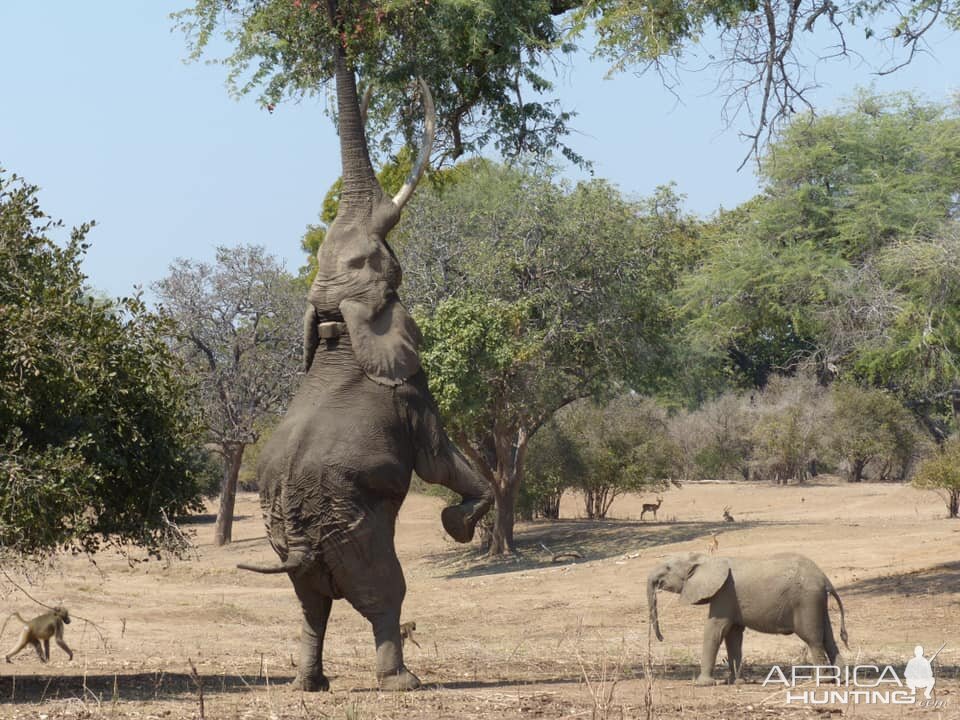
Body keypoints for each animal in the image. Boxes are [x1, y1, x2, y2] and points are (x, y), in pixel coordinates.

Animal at [237, 45, 492, 692]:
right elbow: (438, 460)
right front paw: (457, 524)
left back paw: (309, 685)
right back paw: (401, 681)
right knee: (383, 593)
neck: (338, 328)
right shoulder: (410, 393)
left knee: (310, 606)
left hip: (297, 540)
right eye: (386, 259)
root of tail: (301, 540)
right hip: (355, 528)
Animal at [644, 552, 848, 688]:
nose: (661, 638)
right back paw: (841, 679)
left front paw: (703, 684)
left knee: (813, 639)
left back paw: (821, 681)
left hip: (806, 601)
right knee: (829, 638)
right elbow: (733, 636)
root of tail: (824, 578)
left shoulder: (724, 593)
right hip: (817, 602)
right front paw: (735, 682)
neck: (706, 560)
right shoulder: (730, 599)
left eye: (668, 568)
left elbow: (715, 630)